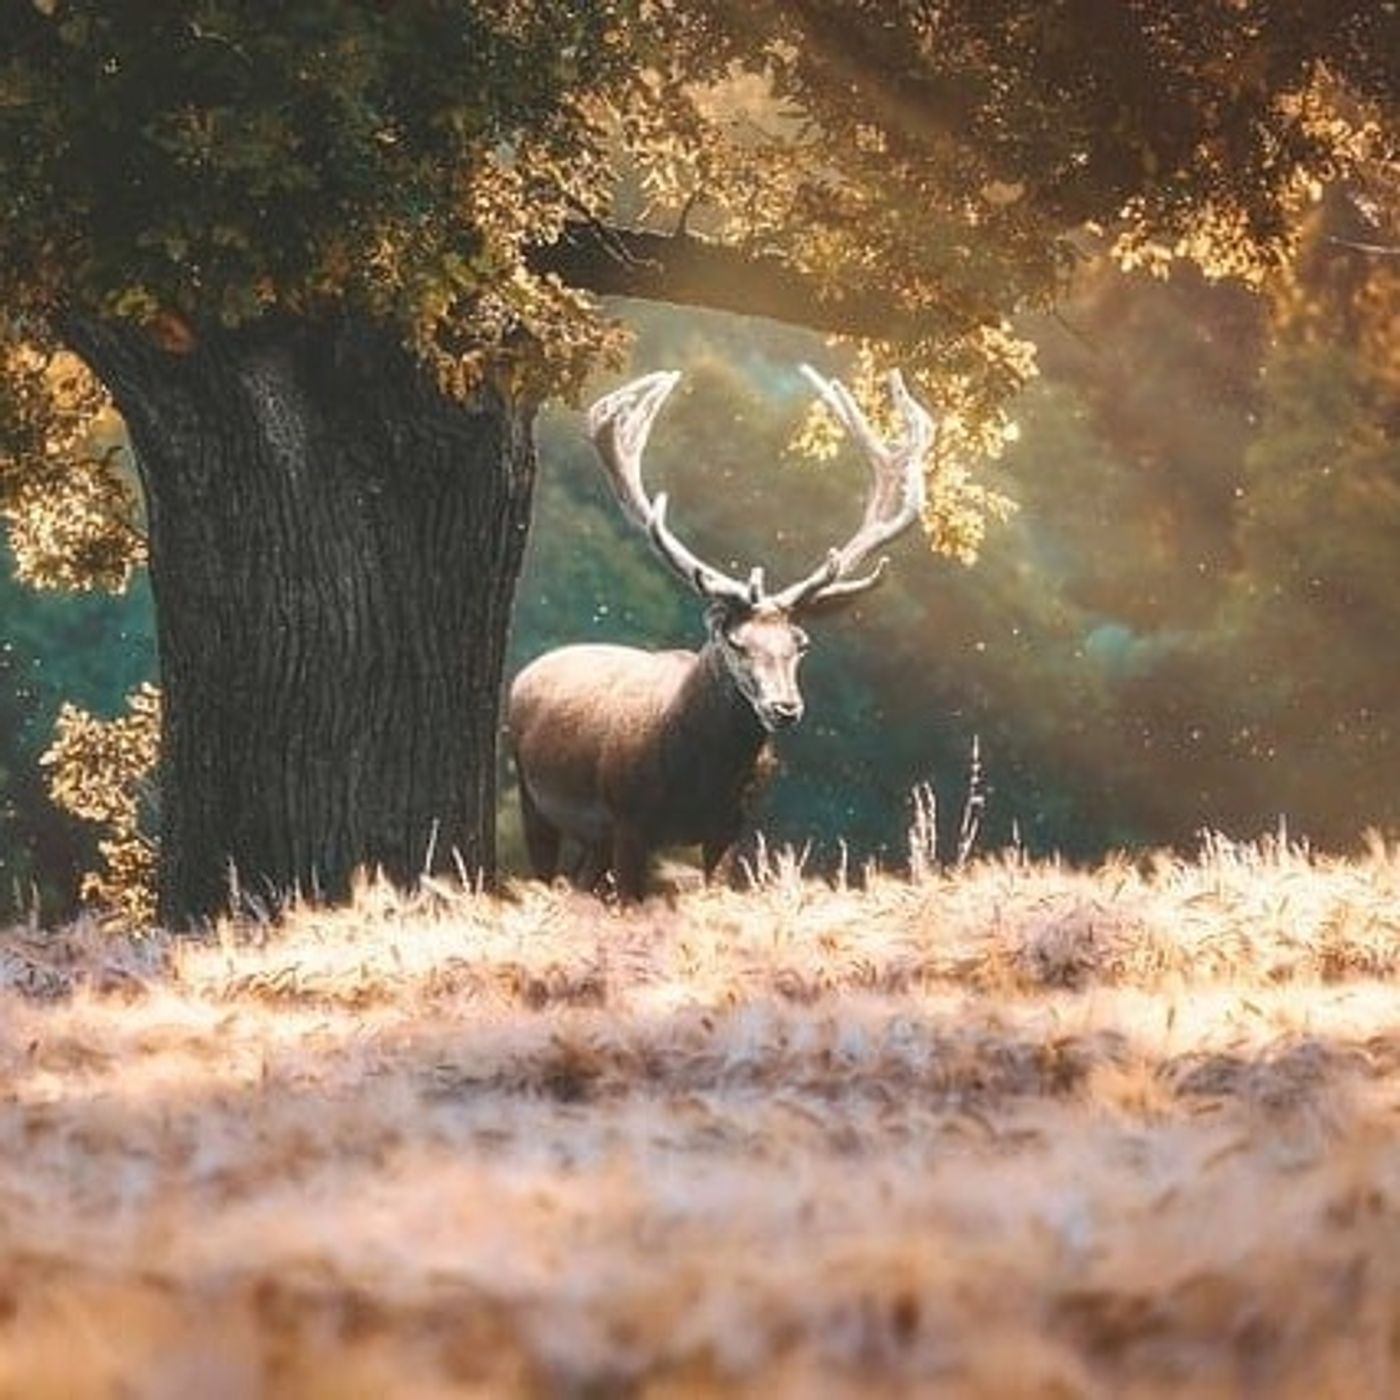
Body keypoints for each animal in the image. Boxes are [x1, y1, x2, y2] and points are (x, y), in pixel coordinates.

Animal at [508, 365, 936, 901]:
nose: (784, 707)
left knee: (582, 882)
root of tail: (527, 672)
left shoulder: (730, 829)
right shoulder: (629, 820)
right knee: (546, 871)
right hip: (533, 795)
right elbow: (628, 900)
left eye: (801, 644)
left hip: (592, 836)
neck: (700, 783)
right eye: (736, 642)